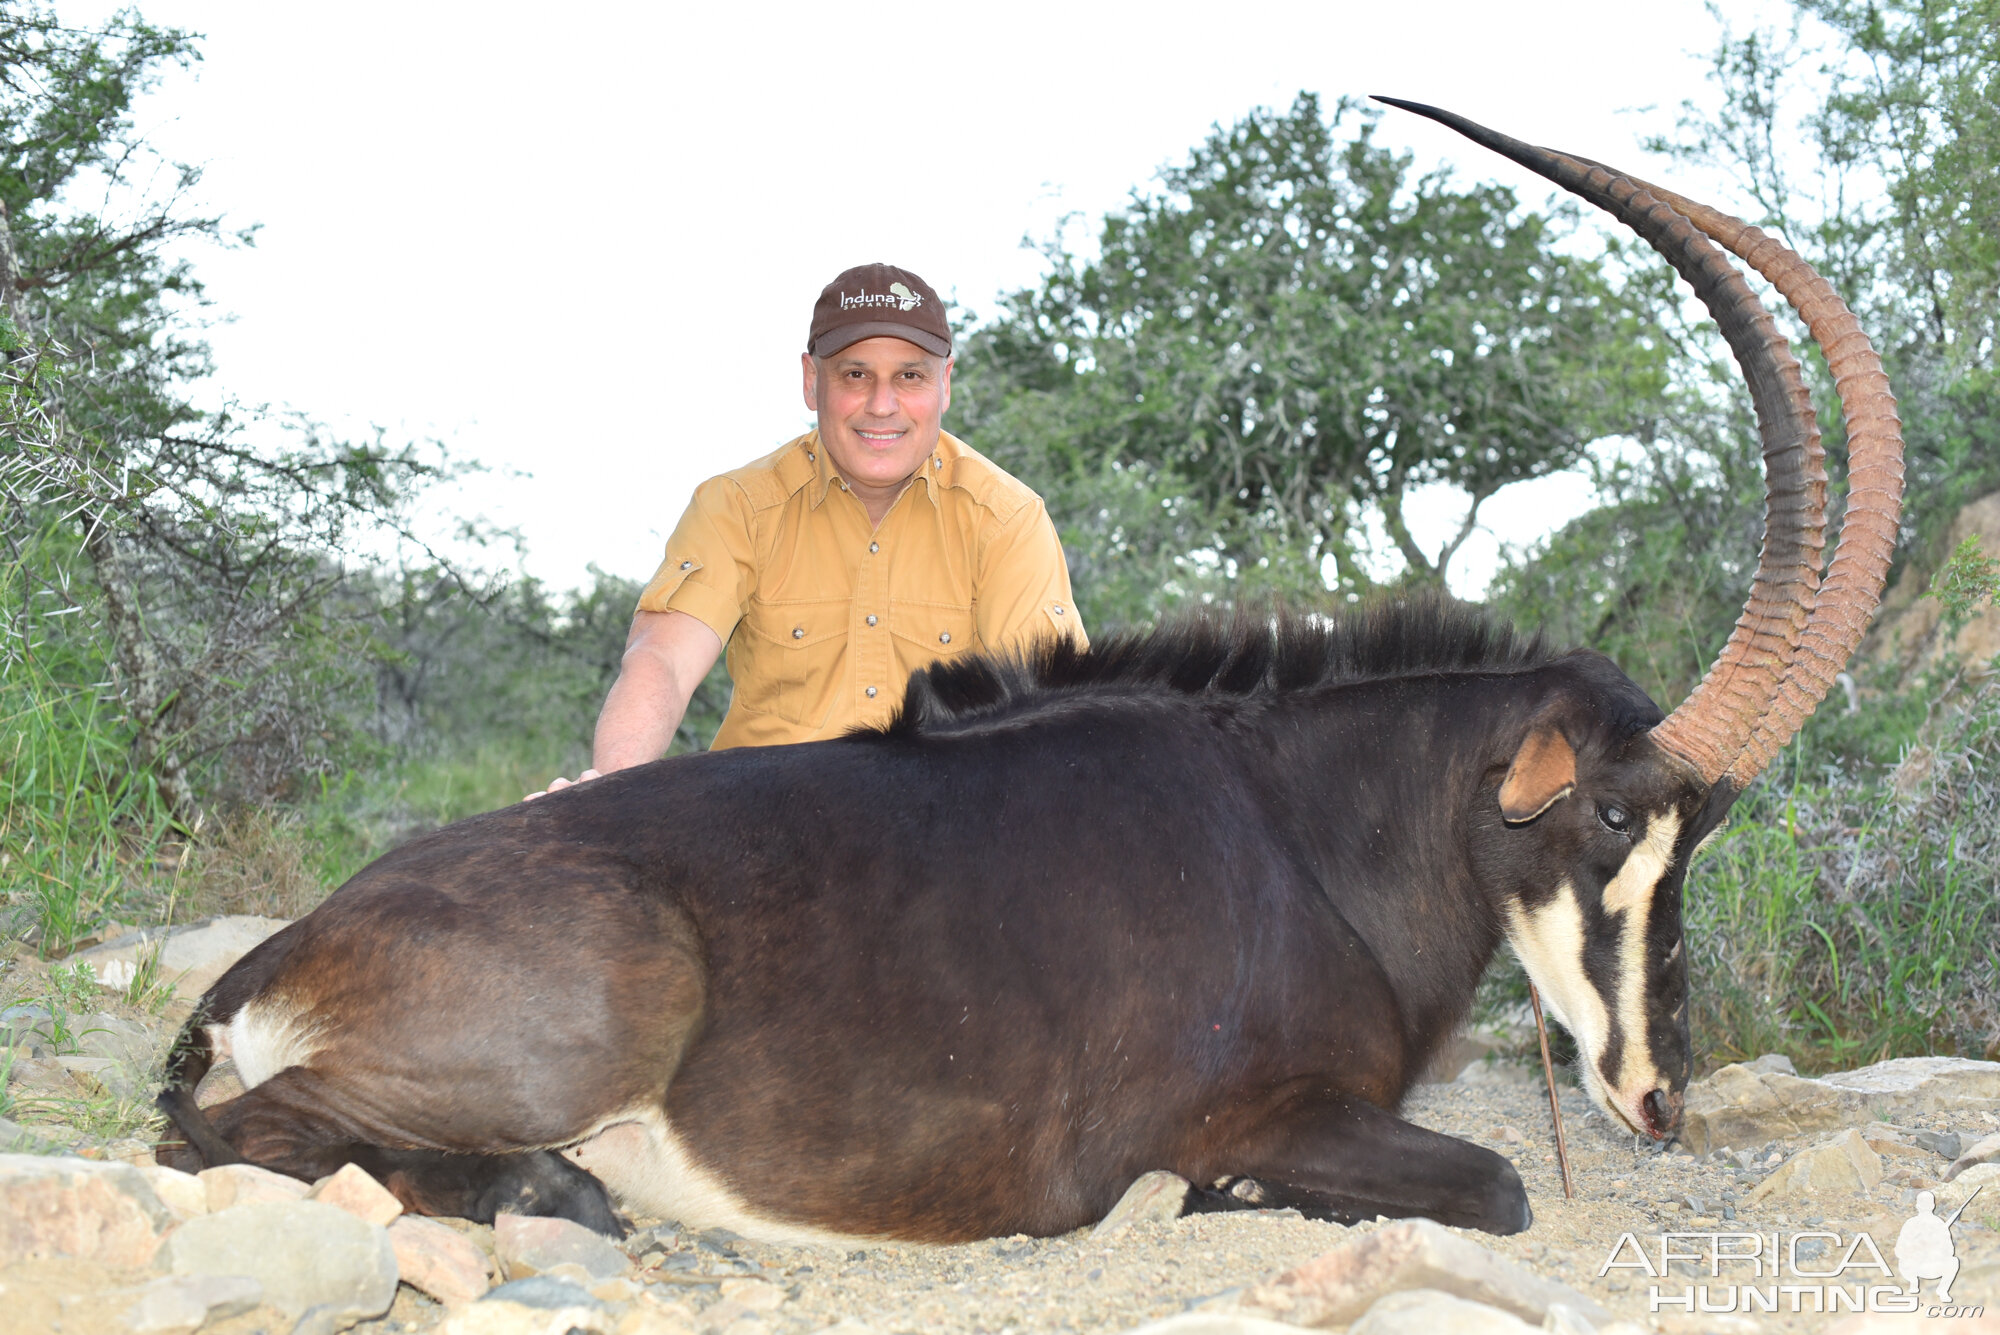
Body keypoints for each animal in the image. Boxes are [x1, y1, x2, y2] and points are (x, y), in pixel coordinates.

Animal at [156, 104, 1904, 1239]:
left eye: (1697, 834)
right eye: (1610, 816)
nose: (1663, 1101)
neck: (1313, 835)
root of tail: (284, 949)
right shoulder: (1253, 1108)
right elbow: (1490, 1177)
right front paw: (1235, 1195)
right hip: (580, 1024)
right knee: (231, 1139)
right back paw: (553, 1186)